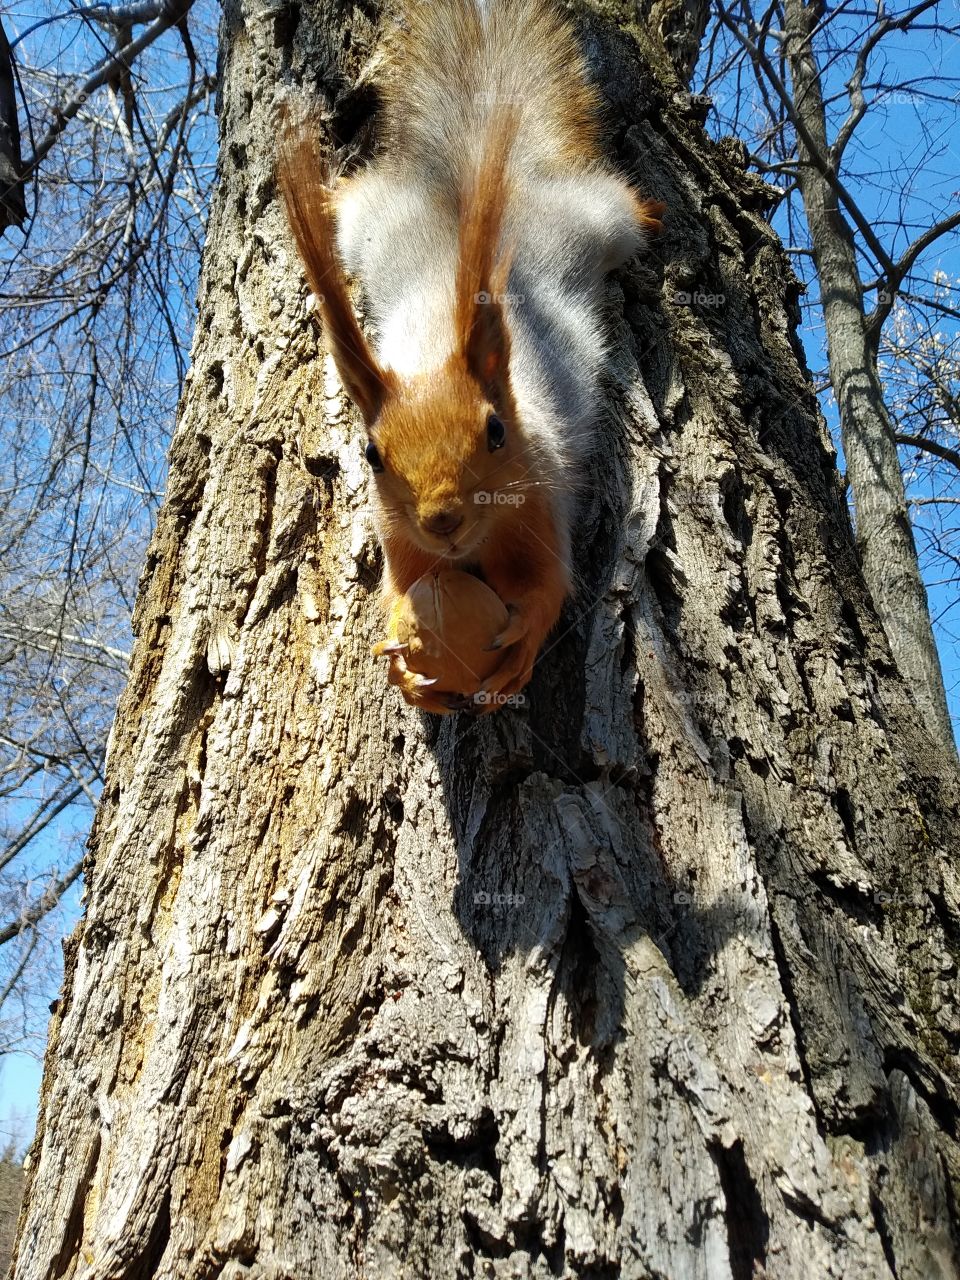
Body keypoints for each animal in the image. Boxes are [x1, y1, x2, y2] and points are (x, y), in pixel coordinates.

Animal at [278, 0, 663, 715]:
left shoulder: (542, 504)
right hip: (369, 224)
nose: (442, 520)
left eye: (496, 432)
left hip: (596, 225)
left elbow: (549, 585)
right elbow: (401, 589)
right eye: (372, 454)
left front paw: (521, 644)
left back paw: (650, 213)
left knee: (619, 206)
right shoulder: (398, 533)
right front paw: (404, 657)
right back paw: (328, 193)